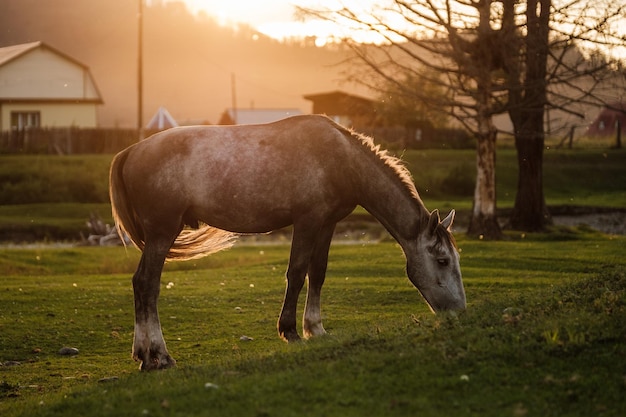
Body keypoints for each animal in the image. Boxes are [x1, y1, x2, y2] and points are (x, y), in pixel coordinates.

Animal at [109, 114, 464, 370]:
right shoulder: (306, 222)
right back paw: (157, 355)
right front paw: (290, 330)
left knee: (141, 285)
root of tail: (130, 151)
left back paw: (143, 353)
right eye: (443, 260)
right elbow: (296, 272)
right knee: (147, 284)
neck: (341, 159)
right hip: (162, 234)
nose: (458, 312)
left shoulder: (327, 224)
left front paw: (315, 328)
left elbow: (317, 273)